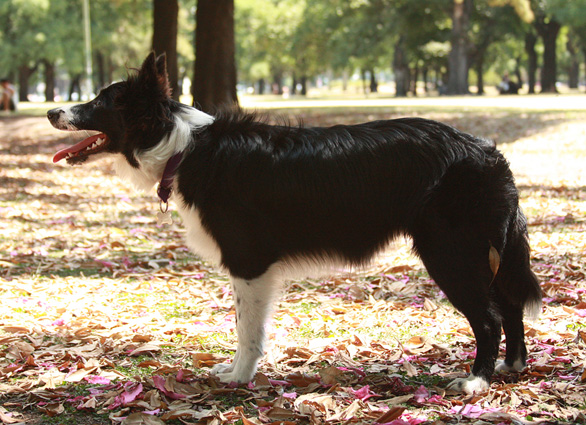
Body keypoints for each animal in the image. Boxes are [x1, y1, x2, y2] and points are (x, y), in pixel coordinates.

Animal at [48, 53, 540, 394]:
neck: (182, 147)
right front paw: (235, 372)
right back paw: (511, 367)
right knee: (510, 306)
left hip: (450, 254)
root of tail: (488, 152)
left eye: (100, 101)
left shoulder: (249, 264)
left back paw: (477, 381)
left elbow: (247, 330)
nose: (53, 111)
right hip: (483, 254)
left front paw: (239, 377)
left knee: (489, 319)